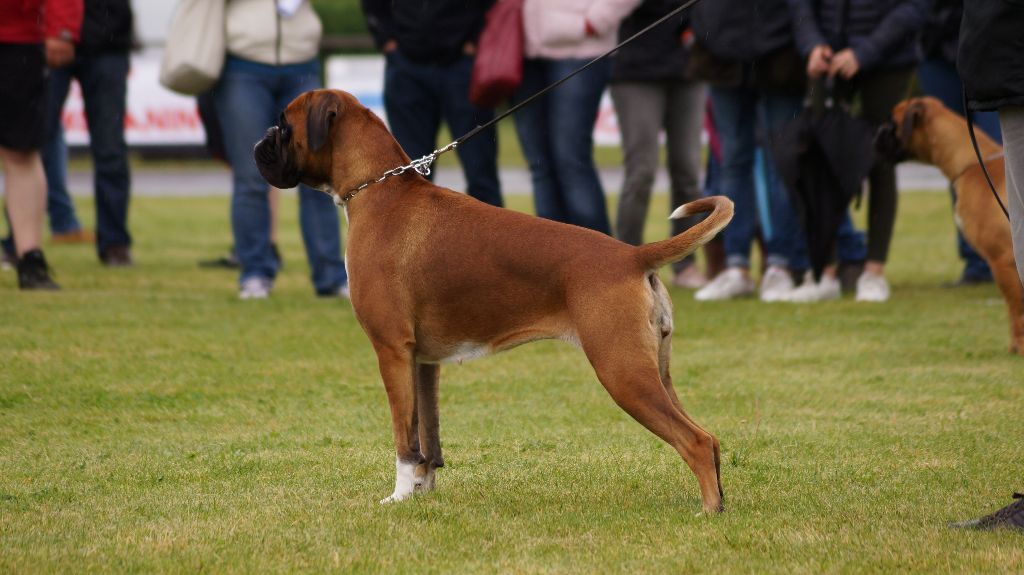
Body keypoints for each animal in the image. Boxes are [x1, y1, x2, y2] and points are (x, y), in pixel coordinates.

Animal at [256, 88, 737, 509]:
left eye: (284, 123)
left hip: (623, 372)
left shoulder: (391, 352)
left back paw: (708, 511)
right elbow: (427, 437)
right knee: (708, 437)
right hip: (656, 372)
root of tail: (633, 255)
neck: (379, 189)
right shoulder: (423, 362)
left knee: (694, 440)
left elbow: (403, 439)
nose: (258, 145)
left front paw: (398, 497)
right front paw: (422, 493)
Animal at [876, 96, 1019, 351]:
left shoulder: (1001, 260)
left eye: (892, 122)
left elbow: (1016, 309)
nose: (876, 133)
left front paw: (1019, 346)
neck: (969, 164)